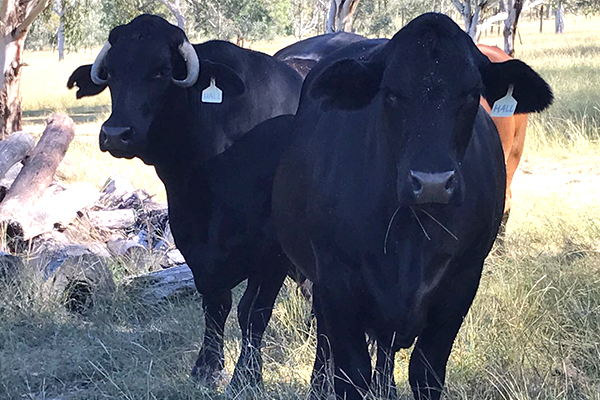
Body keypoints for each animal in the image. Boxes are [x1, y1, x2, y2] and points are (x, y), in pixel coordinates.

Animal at [67, 14, 302, 390]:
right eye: (112, 73)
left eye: (161, 71)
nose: (116, 134)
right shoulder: (192, 240)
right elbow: (215, 304)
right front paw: (206, 368)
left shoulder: (273, 254)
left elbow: (253, 311)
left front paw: (247, 376)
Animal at [272, 12, 552, 400]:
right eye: (390, 94)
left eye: (471, 94)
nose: (432, 182)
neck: (410, 233)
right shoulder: (336, 281)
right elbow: (350, 373)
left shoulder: (463, 280)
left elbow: (426, 371)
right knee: (328, 345)